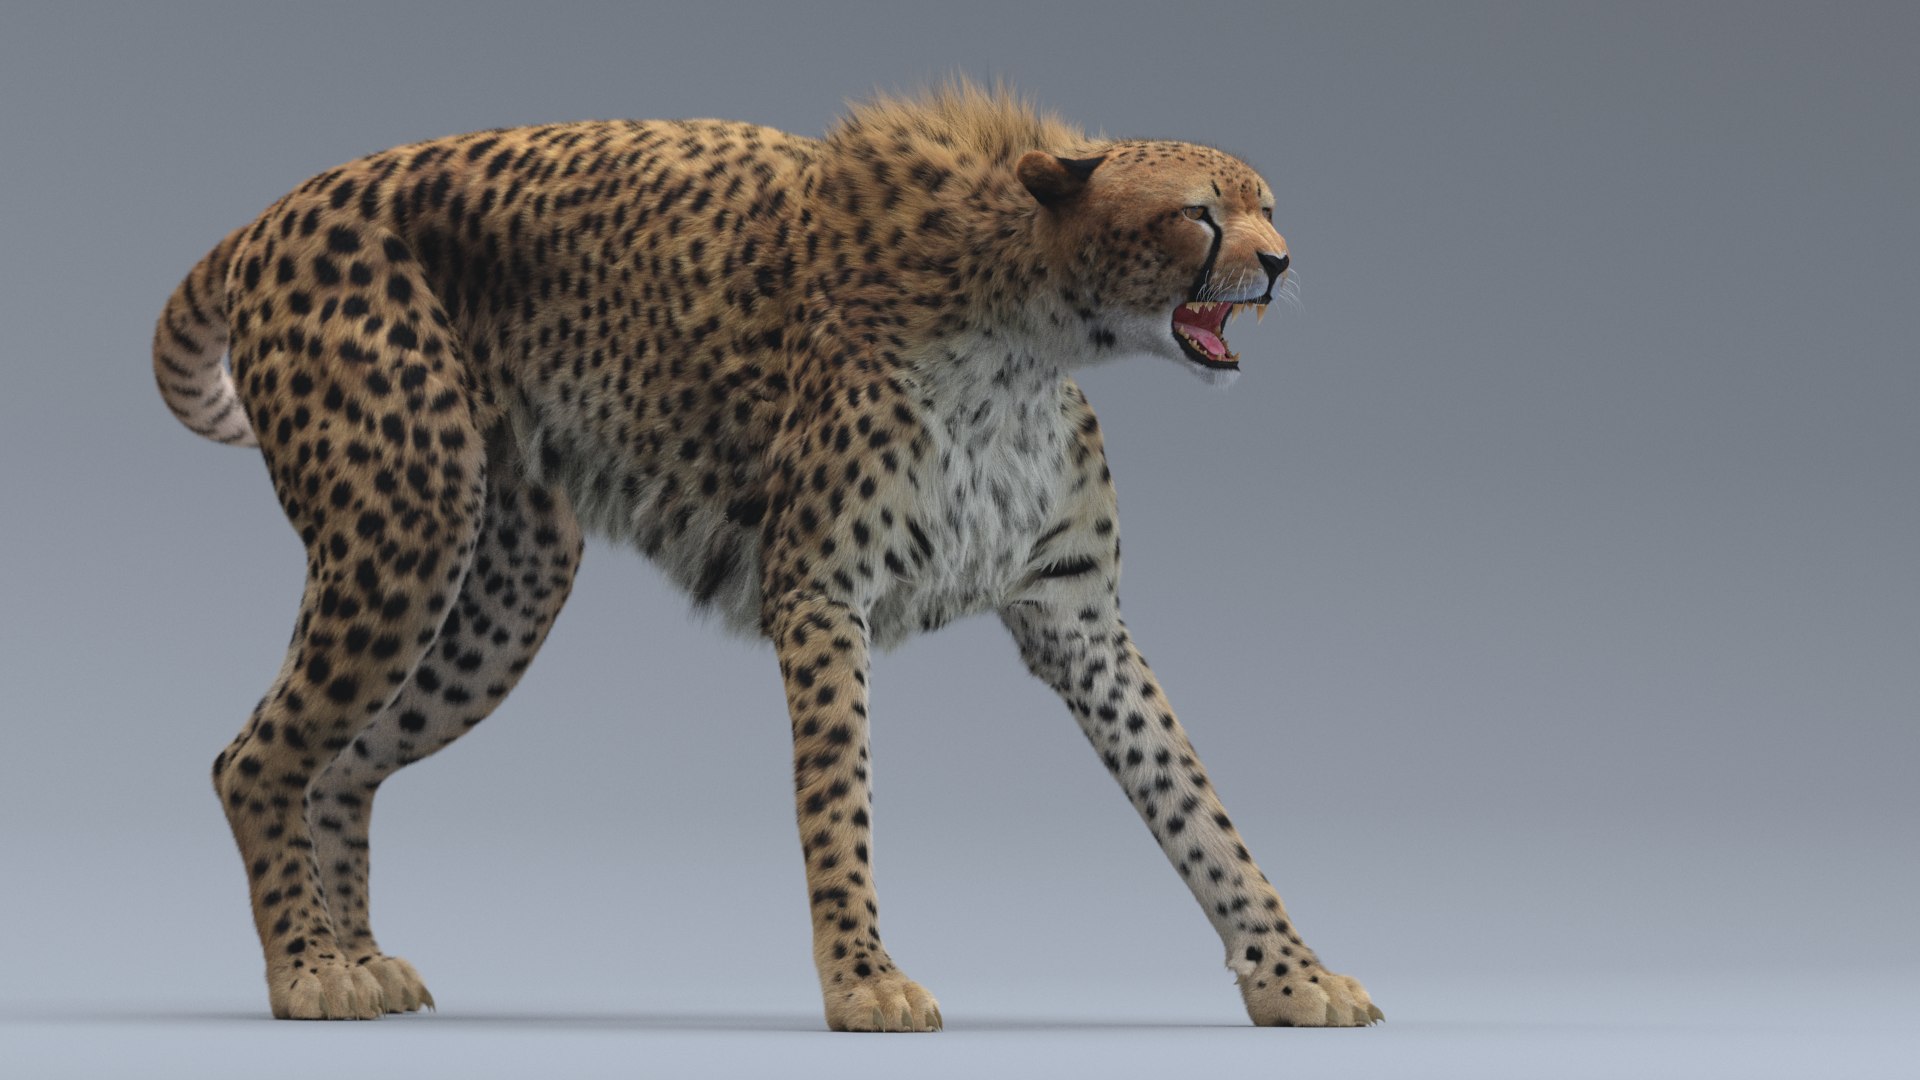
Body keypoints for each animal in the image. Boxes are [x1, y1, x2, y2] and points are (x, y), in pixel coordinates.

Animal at [153, 81, 1381, 1031]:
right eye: (1197, 215)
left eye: (1267, 206)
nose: (1280, 263)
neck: (1024, 320)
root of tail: (282, 205)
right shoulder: (822, 593)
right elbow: (839, 801)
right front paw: (865, 984)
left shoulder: (1079, 619)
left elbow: (1197, 804)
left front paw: (1294, 975)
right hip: (405, 522)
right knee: (254, 758)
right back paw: (307, 972)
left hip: (505, 588)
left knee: (343, 764)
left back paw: (356, 954)